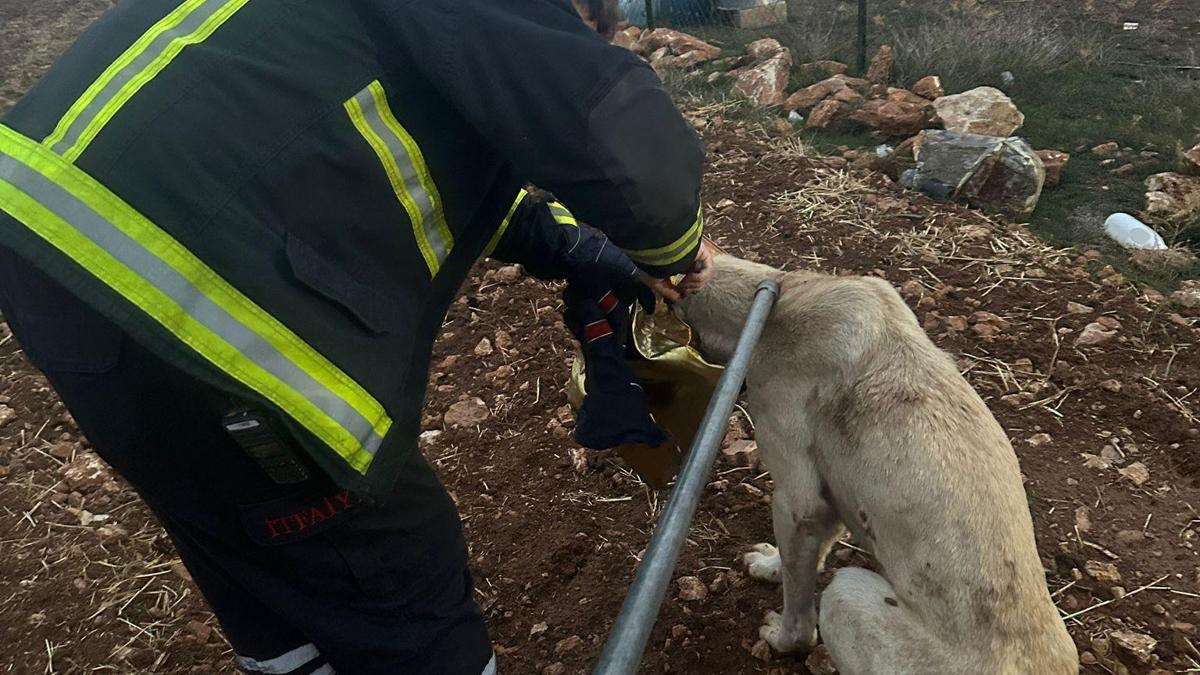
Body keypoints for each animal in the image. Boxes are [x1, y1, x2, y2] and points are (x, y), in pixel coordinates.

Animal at [676, 253, 1080, 672]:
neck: (774, 303)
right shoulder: (833, 497)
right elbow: (801, 559)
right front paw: (769, 565)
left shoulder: (798, 499)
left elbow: (798, 606)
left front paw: (782, 639)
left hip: (845, 593)